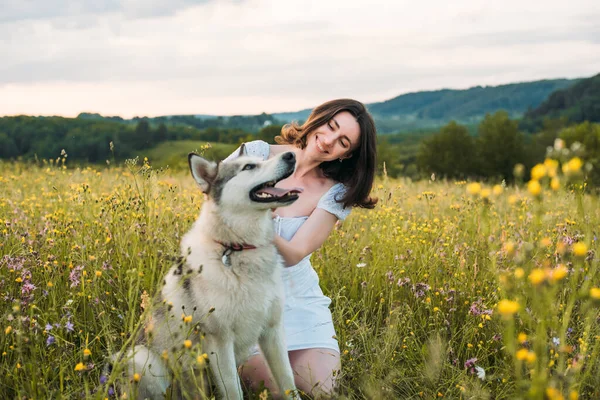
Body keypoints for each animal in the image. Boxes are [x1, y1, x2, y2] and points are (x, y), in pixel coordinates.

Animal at [112, 151, 300, 400]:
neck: (237, 248)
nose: (291, 155)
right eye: (249, 167)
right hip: (141, 358)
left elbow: (288, 382)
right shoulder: (220, 342)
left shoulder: (273, 332)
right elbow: (233, 390)